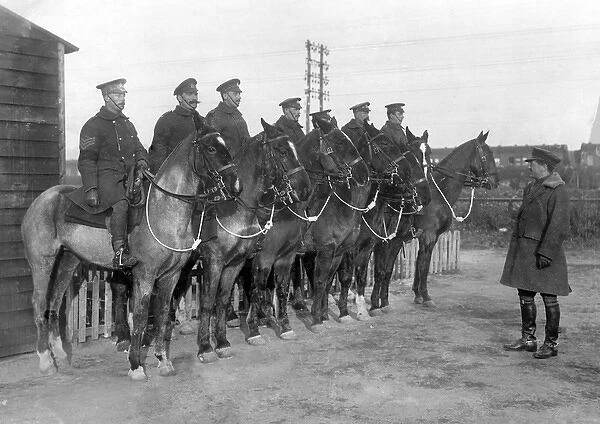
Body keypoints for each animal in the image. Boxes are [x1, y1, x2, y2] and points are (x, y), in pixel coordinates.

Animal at [22, 127, 239, 380]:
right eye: (211, 148)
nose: (236, 185)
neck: (163, 209)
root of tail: (42, 199)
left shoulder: (171, 276)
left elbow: (162, 314)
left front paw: (163, 361)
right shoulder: (145, 275)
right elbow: (142, 317)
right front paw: (136, 365)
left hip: (67, 262)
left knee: (54, 305)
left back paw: (62, 357)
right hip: (42, 263)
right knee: (39, 304)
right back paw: (46, 361)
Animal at [195, 118, 312, 362]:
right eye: (282, 150)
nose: (305, 188)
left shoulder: (285, 258)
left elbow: (281, 289)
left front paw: (284, 327)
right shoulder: (261, 259)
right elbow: (256, 290)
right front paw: (254, 330)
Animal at [241, 117, 368, 342]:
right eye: (339, 142)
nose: (364, 173)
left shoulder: (337, 251)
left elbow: (328, 281)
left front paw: (327, 315)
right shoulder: (323, 250)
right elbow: (319, 281)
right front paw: (317, 320)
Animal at [338, 126, 432, 322]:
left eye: (428, 156)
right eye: (412, 159)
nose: (425, 196)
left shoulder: (388, 242)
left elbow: (383, 271)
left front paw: (380, 304)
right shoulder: (359, 247)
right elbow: (349, 276)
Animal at [372, 131, 500, 310]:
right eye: (488, 154)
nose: (496, 181)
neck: (438, 195)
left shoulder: (424, 238)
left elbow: (419, 263)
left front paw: (417, 294)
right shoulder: (429, 236)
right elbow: (424, 266)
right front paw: (426, 296)